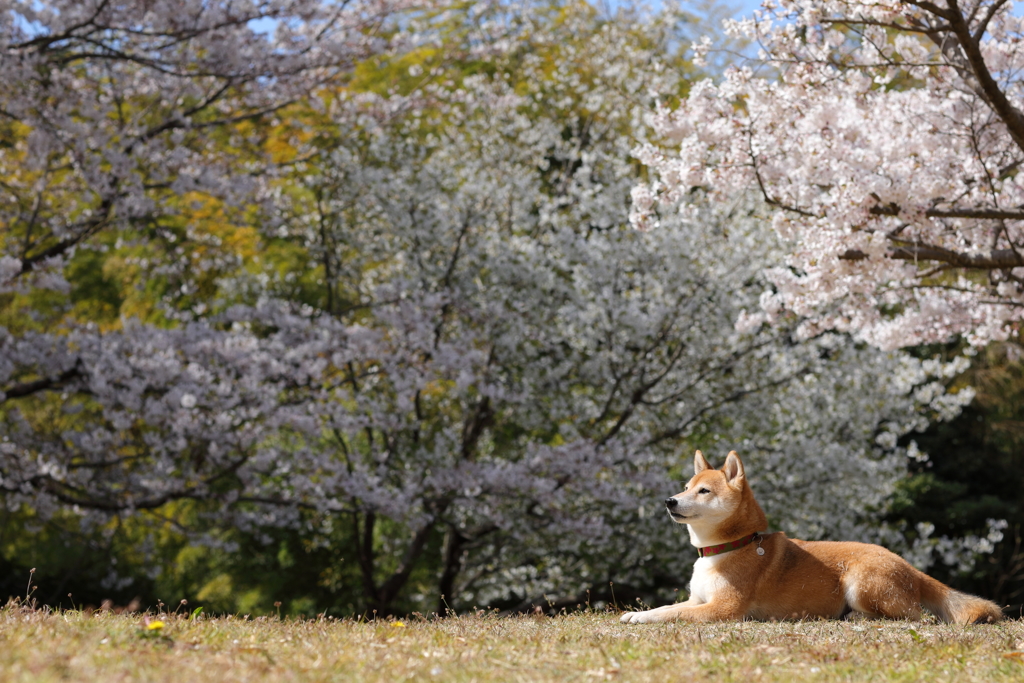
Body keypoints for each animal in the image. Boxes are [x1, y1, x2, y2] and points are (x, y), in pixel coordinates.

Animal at [618, 450, 1003, 622]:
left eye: (703, 491)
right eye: (685, 487)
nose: (669, 500)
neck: (726, 548)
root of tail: (908, 565)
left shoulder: (723, 608)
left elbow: (671, 615)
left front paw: (643, 618)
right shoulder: (698, 600)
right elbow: (668, 606)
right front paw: (637, 613)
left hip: (860, 582)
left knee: (917, 617)